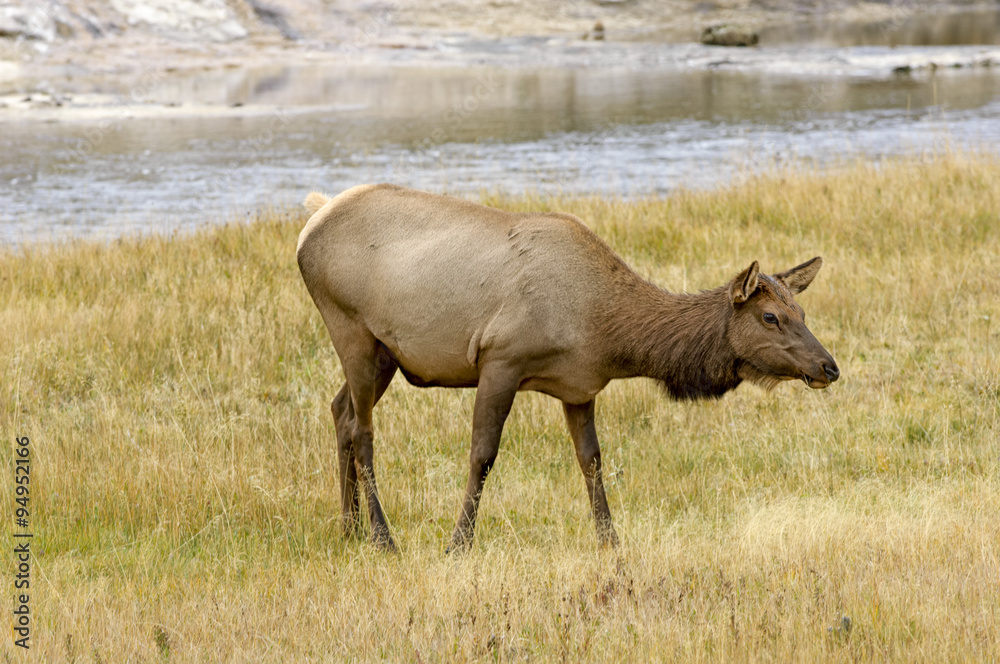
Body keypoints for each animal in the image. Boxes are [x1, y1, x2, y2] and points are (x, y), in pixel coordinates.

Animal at [294, 184, 836, 552]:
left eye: (803, 313)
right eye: (771, 317)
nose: (829, 367)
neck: (605, 330)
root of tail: (311, 221)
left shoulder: (579, 387)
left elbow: (591, 460)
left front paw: (610, 540)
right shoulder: (501, 359)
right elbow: (482, 455)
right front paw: (458, 542)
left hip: (384, 352)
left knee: (340, 410)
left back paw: (349, 527)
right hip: (351, 329)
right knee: (363, 431)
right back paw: (382, 537)